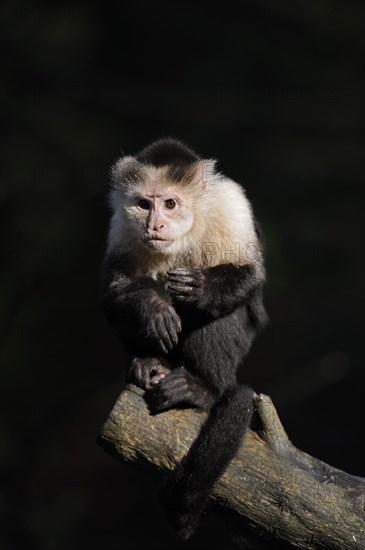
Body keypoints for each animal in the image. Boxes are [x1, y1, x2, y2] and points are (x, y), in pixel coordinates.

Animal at [101, 139, 266, 544]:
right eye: (144, 204)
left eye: (171, 203)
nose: (154, 224)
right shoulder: (121, 223)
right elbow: (115, 291)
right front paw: (153, 304)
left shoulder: (231, 204)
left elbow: (249, 276)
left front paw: (201, 288)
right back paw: (151, 362)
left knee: (219, 318)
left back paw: (205, 388)